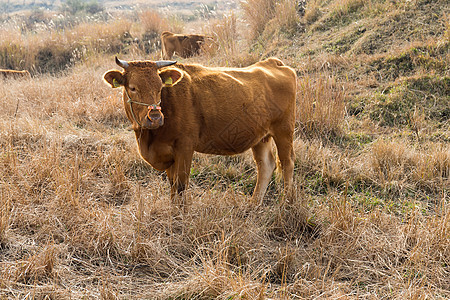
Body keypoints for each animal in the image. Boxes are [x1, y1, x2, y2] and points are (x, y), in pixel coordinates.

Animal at [103, 55, 298, 206]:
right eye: (132, 88)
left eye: (160, 88)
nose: (156, 117)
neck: (149, 139)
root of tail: (272, 63)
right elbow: (172, 186)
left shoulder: (185, 147)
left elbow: (181, 186)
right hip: (261, 137)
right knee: (265, 165)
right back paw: (253, 205)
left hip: (284, 130)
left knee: (287, 163)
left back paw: (287, 203)